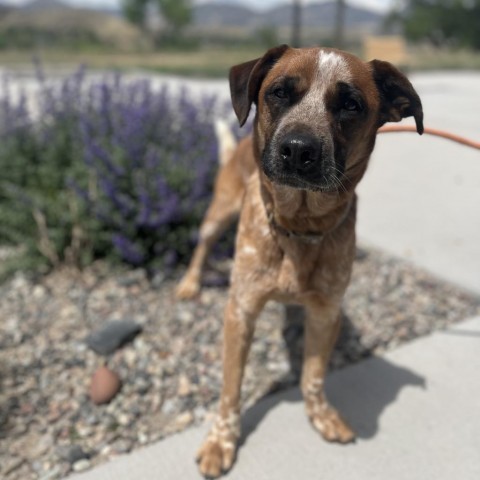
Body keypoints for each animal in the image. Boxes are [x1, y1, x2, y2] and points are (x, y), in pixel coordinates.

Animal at [177, 44, 424, 476]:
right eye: (278, 92)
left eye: (351, 104)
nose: (298, 148)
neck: (300, 227)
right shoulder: (240, 312)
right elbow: (231, 389)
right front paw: (221, 440)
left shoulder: (326, 312)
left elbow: (313, 375)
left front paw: (321, 414)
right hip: (217, 214)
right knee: (202, 246)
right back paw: (190, 282)